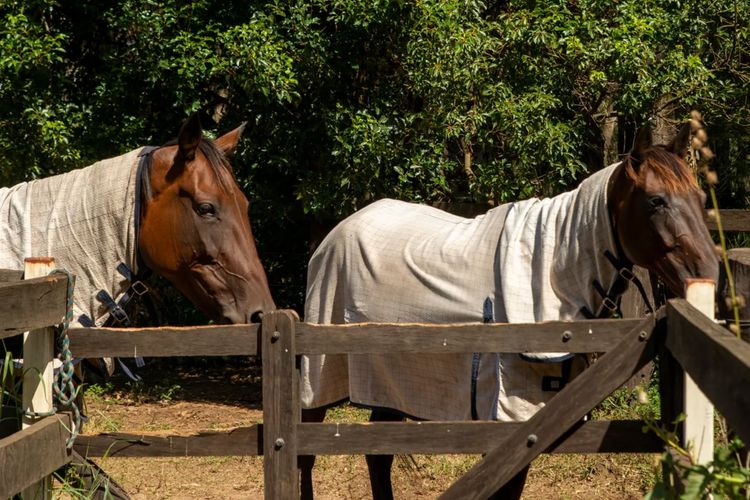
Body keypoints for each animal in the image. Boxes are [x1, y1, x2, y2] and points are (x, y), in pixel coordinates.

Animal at [298, 123, 718, 499]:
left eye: (700, 198)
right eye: (656, 201)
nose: (709, 274)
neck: (558, 266)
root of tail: (336, 233)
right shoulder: (513, 418)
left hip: (390, 384)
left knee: (378, 455)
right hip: (318, 375)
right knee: (305, 451)